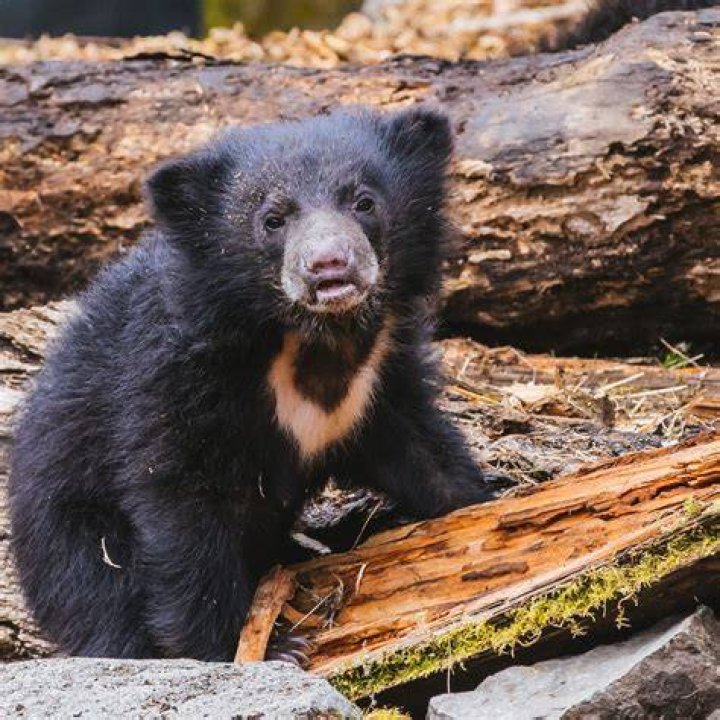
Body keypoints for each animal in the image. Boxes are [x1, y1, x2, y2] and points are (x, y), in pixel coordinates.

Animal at [9, 107, 505, 662]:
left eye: (363, 201)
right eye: (273, 219)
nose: (330, 266)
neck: (311, 336)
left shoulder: (381, 376)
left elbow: (421, 448)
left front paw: (484, 501)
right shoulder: (174, 380)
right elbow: (183, 509)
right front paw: (259, 648)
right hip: (71, 530)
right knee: (102, 600)